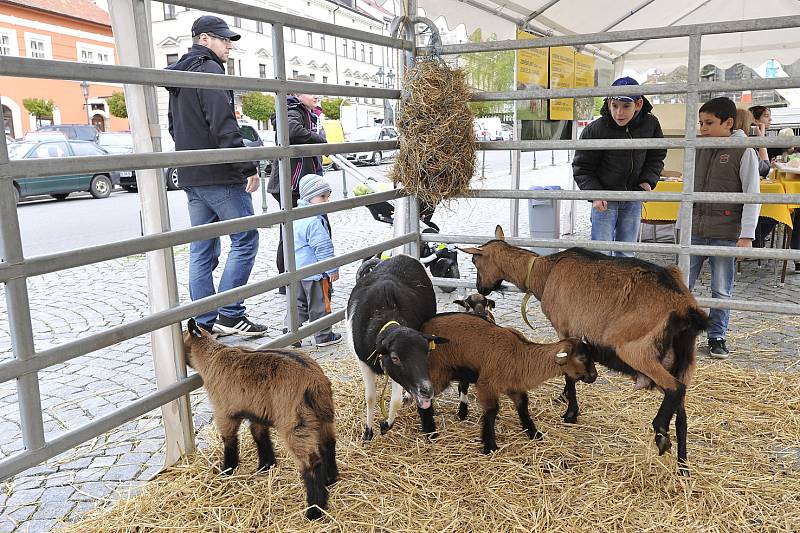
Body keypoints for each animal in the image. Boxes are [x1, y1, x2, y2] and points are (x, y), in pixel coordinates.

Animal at [184, 318, 338, 516]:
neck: (213, 356)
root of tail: (315, 381)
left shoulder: (223, 411)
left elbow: (229, 440)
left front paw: (227, 469)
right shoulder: (257, 411)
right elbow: (259, 434)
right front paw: (266, 465)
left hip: (295, 423)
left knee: (310, 462)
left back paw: (314, 510)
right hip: (322, 417)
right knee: (328, 444)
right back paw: (330, 479)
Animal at [422, 312, 596, 454]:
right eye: (581, 358)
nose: (594, 376)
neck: (520, 355)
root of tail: (424, 326)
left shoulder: (513, 386)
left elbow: (523, 406)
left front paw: (534, 433)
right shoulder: (486, 385)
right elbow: (491, 411)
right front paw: (489, 446)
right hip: (439, 370)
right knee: (425, 396)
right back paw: (430, 433)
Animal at [460, 224, 708, 470]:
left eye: (475, 261)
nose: (480, 287)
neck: (545, 272)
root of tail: (685, 307)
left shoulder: (564, 328)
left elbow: (568, 372)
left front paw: (570, 413)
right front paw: (564, 399)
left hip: (636, 350)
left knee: (675, 388)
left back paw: (661, 433)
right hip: (684, 361)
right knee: (682, 414)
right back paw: (683, 466)